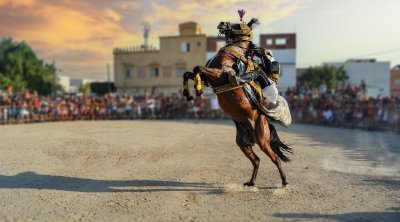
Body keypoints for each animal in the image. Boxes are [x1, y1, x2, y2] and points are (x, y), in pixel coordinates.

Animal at [183, 40, 292, 187]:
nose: (264, 52)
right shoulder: (210, 79)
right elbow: (190, 73)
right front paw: (190, 94)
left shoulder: (221, 75)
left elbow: (198, 68)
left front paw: (198, 90)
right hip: (243, 142)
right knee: (257, 160)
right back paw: (251, 182)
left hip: (262, 140)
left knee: (275, 158)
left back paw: (284, 181)